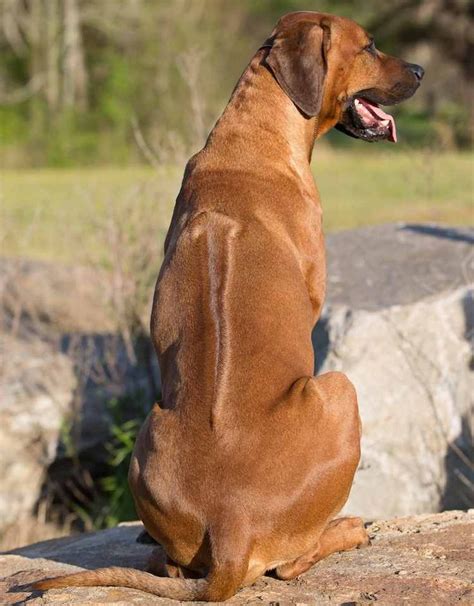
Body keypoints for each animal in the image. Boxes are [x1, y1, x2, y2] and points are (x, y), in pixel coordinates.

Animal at [36, 9, 422, 604]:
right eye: (370, 46)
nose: (422, 71)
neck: (252, 133)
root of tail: (234, 524)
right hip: (342, 389)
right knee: (290, 564)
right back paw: (348, 528)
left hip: (149, 436)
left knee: (176, 566)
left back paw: (155, 553)